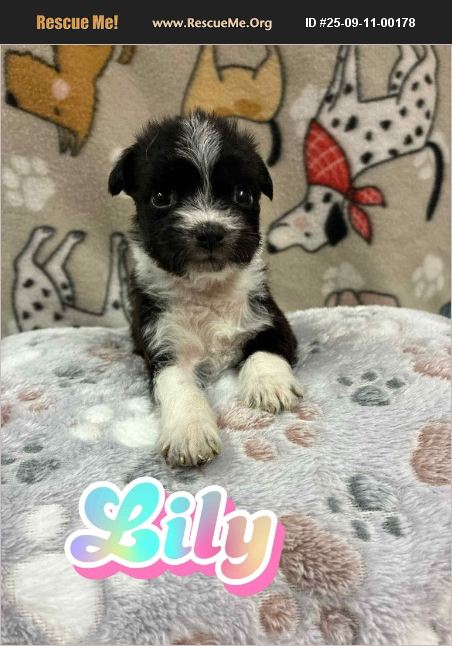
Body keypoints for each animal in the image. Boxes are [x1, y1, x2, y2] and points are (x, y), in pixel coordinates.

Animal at [109, 110, 303, 467]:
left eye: (243, 195)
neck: (207, 290)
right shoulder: (163, 345)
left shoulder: (271, 318)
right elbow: (178, 384)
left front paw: (269, 385)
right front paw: (190, 433)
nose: (210, 232)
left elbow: (264, 348)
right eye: (161, 198)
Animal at [267, 45, 443, 254]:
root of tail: (423, 138)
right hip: (403, 81)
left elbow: (346, 72)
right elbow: (340, 76)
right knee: (412, 58)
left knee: (427, 60)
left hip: (416, 85)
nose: (270, 247)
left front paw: (347, 52)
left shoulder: (343, 99)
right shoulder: (336, 102)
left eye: (305, 235)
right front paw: (344, 53)